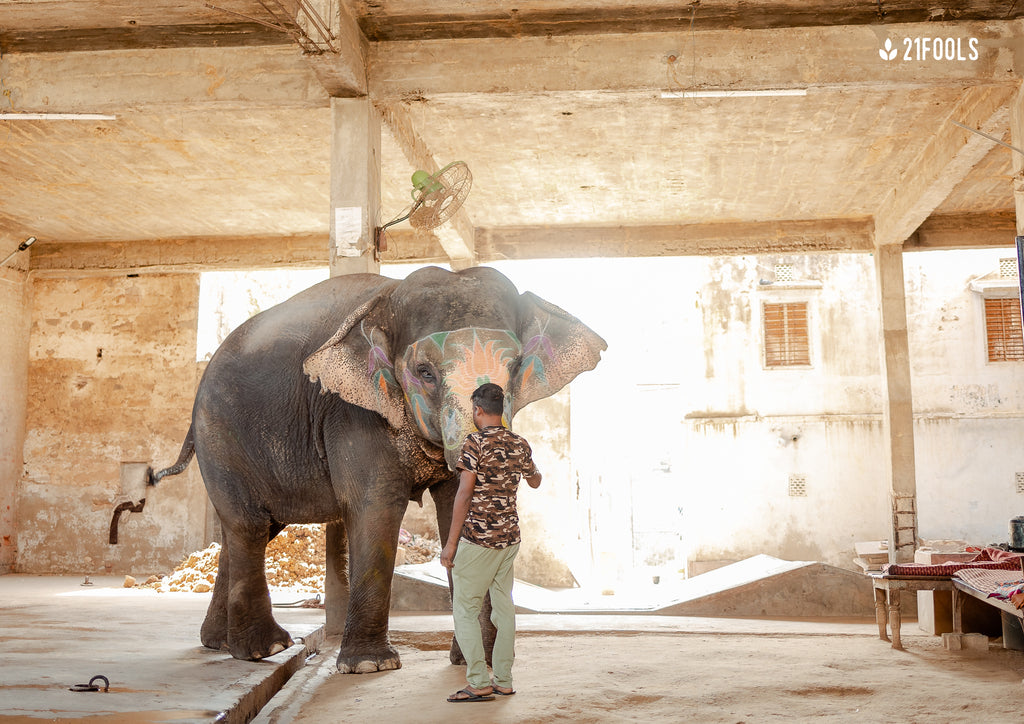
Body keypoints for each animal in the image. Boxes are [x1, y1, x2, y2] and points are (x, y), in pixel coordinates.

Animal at [150, 265, 606, 672]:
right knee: (249, 526)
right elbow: (376, 508)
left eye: (515, 369)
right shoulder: (350, 412)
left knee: (249, 530)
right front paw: (370, 666)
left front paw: (476, 661)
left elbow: (452, 508)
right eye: (424, 373)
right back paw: (265, 649)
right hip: (220, 434)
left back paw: (220, 643)